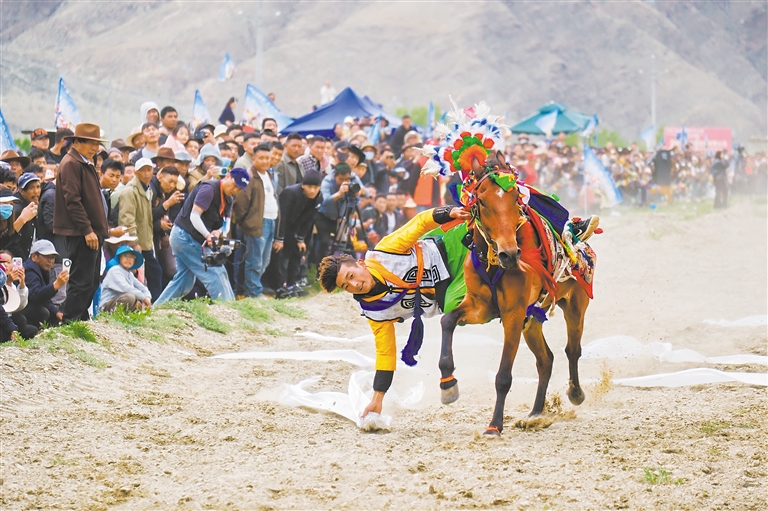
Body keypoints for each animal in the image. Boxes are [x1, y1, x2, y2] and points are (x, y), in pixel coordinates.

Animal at [438, 153, 592, 436]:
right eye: (482, 201)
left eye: (514, 199)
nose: (509, 254)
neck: (493, 262)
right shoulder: (480, 307)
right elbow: (447, 321)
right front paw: (448, 384)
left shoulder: (513, 313)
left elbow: (503, 376)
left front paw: (494, 425)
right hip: (531, 321)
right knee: (546, 360)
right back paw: (535, 413)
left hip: (575, 307)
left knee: (572, 350)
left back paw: (575, 392)